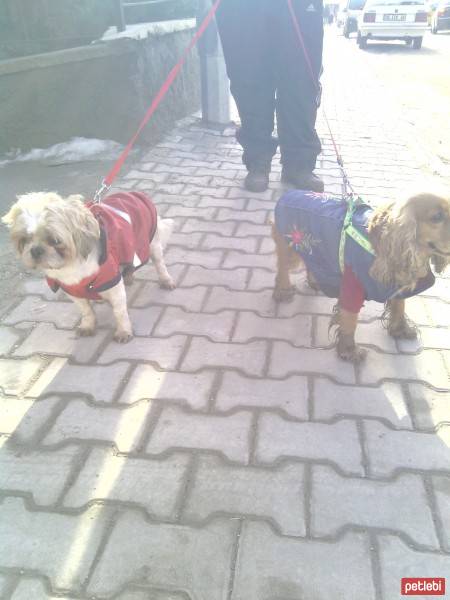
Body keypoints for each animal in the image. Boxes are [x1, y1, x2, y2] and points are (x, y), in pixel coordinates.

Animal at [2, 192, 175, 342]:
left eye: (55, 240)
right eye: (24, 239)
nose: (35, 250)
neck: (70, 268)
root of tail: (133, 193)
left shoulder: (113, 284)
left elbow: (119, 312)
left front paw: (123, 330)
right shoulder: (73, 291)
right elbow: (86, 311)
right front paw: (88, 325)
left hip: (151, 245)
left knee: (160, 265)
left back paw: (165, 280)